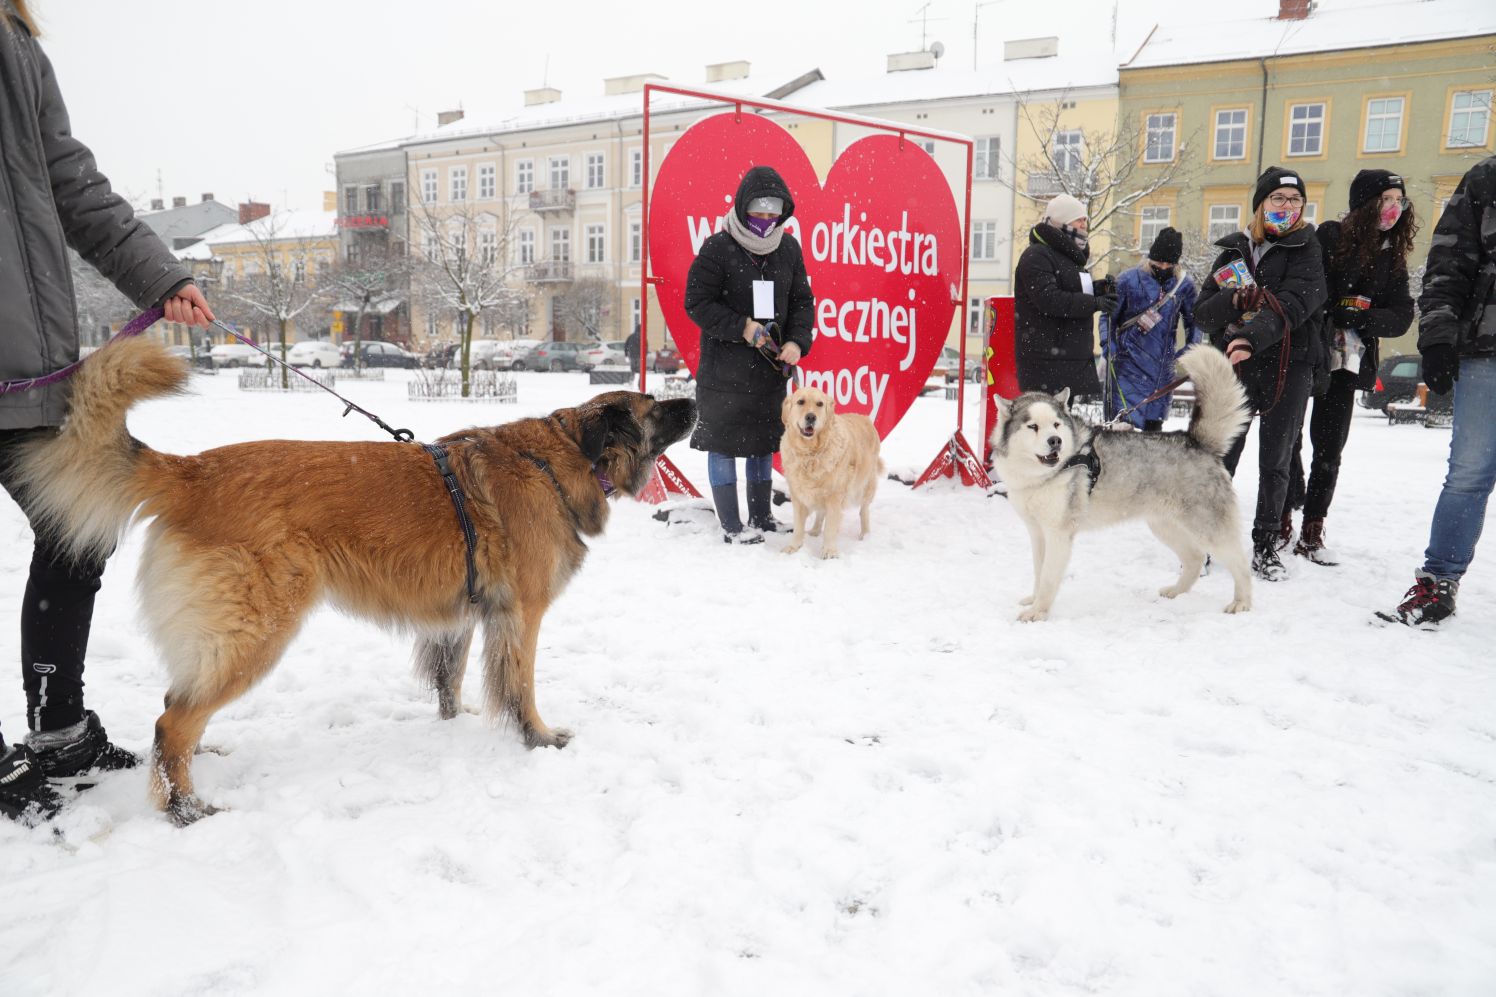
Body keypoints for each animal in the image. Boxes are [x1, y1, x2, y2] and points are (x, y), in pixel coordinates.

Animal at [8, 338, 697, 820]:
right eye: (652, 406)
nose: (692, 398)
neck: (566, 456)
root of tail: (192, 471)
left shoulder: (462, 616)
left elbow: (450, 680)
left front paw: (455, 725)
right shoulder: (520, 616)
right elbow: (521, 686)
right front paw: (539, 737)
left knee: (178, 707)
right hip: (256, 633)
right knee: (171, 721)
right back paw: (187, 809)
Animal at [777, 381, 879, 553]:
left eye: (819, 404)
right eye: (800, 402)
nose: (811, 417)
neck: (810, 453)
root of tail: (865, 418)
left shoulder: (834, 496)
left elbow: (831, 527)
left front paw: (829, 551)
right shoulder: (798, 495)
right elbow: (798, 527)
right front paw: (794, 547)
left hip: (866, 485)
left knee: (864, 510)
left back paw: (865, 535)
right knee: (820, 513)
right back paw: (815, 530)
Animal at [987, 345, 1256, 616]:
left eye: (1056, 424)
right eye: (1032, 426)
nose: (1055, 441)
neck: (1044, 475)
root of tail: (1196, 441)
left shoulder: (1058, 534)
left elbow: (1048, 579)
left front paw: (1038, 612)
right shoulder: (1038, 533)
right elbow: (1038, 573)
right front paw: (1033, 600)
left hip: (1208, 529)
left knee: (1240, 564)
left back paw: (1241, 602)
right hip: (1165, 526)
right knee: (1195, 558)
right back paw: (1176, 592)